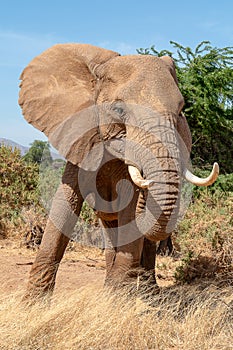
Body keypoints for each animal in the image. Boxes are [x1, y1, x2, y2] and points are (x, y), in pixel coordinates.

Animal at [18, 42, 218, 296]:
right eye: (119, 110)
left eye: (181, 111)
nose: (147, 183)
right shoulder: (81, 142)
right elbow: (64, 205)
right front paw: (35, 301)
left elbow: (130, 215)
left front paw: (114, 299)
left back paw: (148, 293)